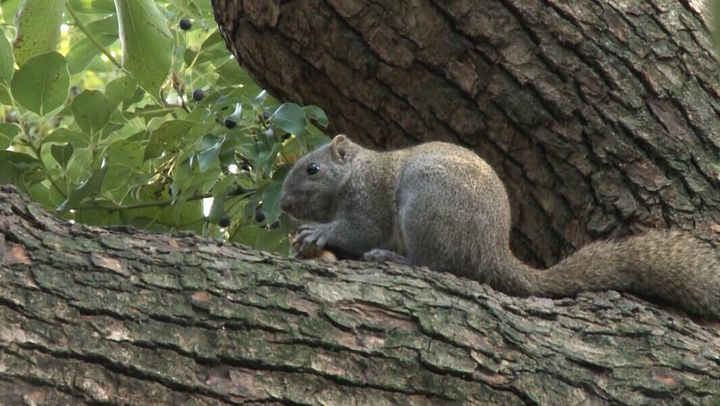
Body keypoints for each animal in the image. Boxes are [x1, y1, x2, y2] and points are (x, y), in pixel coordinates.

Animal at [280, 135, 720, 318]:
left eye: (312, 169)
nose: (282, 203)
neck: (354, 174)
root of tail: (491, 251)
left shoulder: (369, 200)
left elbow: (362, 230)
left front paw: (319, 233)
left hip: (426, 205)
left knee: (436, 264)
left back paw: (393, 259)